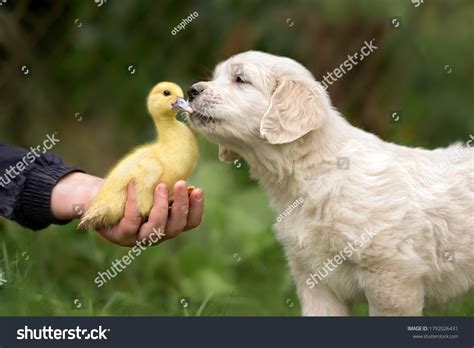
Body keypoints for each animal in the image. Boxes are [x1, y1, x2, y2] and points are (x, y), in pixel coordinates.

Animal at [189, 51, 474, 316]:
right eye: (216, 76)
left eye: (240, 79)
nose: (191, 91)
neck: (314, 173)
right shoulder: (315, 279)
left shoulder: (391, 278)